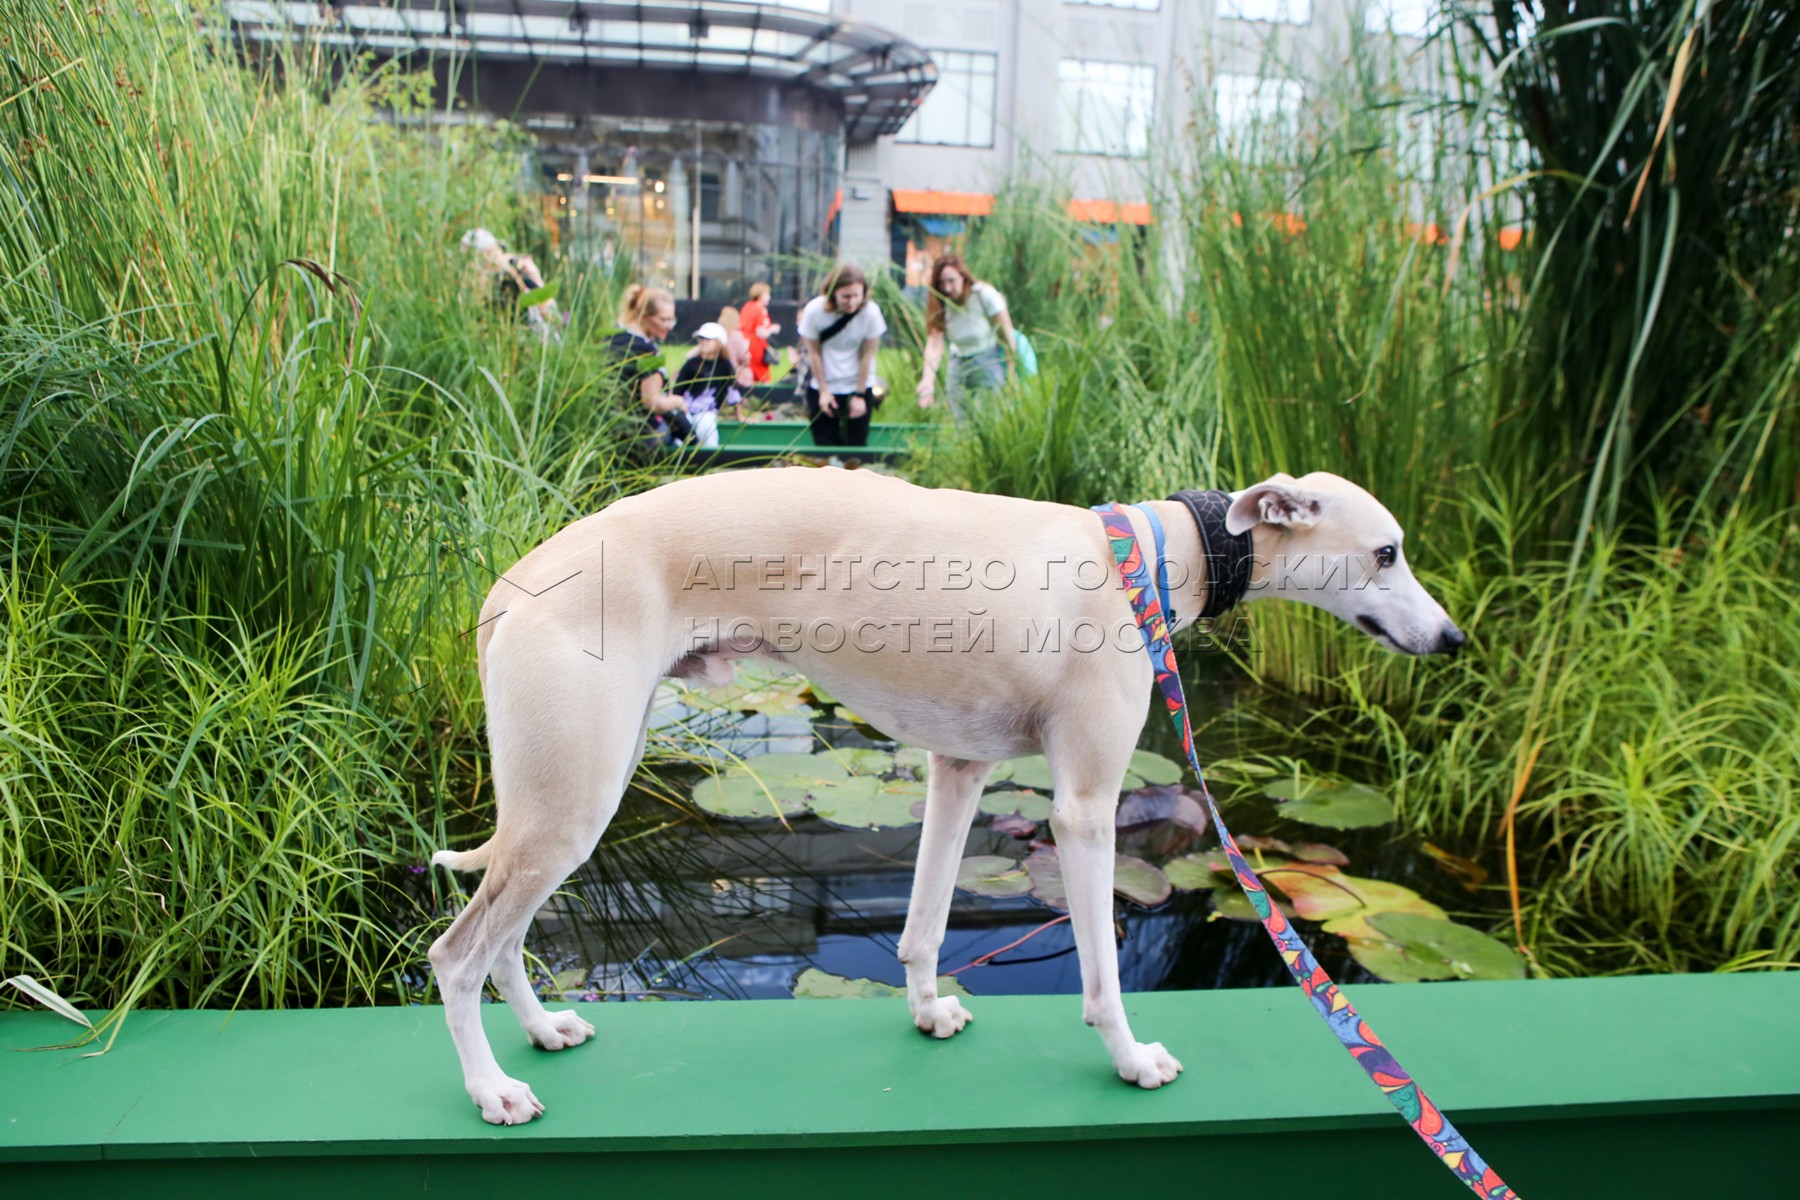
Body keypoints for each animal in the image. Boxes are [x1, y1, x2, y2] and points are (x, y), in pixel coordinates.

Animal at [429, 467, 1464, 1124]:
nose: (1454, 640)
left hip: (574, 797)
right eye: (1387, 553)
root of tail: (509, 587)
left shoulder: (958, 771)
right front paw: (1131, 1059)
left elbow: (923, 924)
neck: (1148, 557)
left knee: (506, 939)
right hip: (575, 798)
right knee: (457, 954)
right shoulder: (1083, 808)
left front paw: (930, 1012)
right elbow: (1101, 975)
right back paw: (489, 1091)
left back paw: (543, 1031)